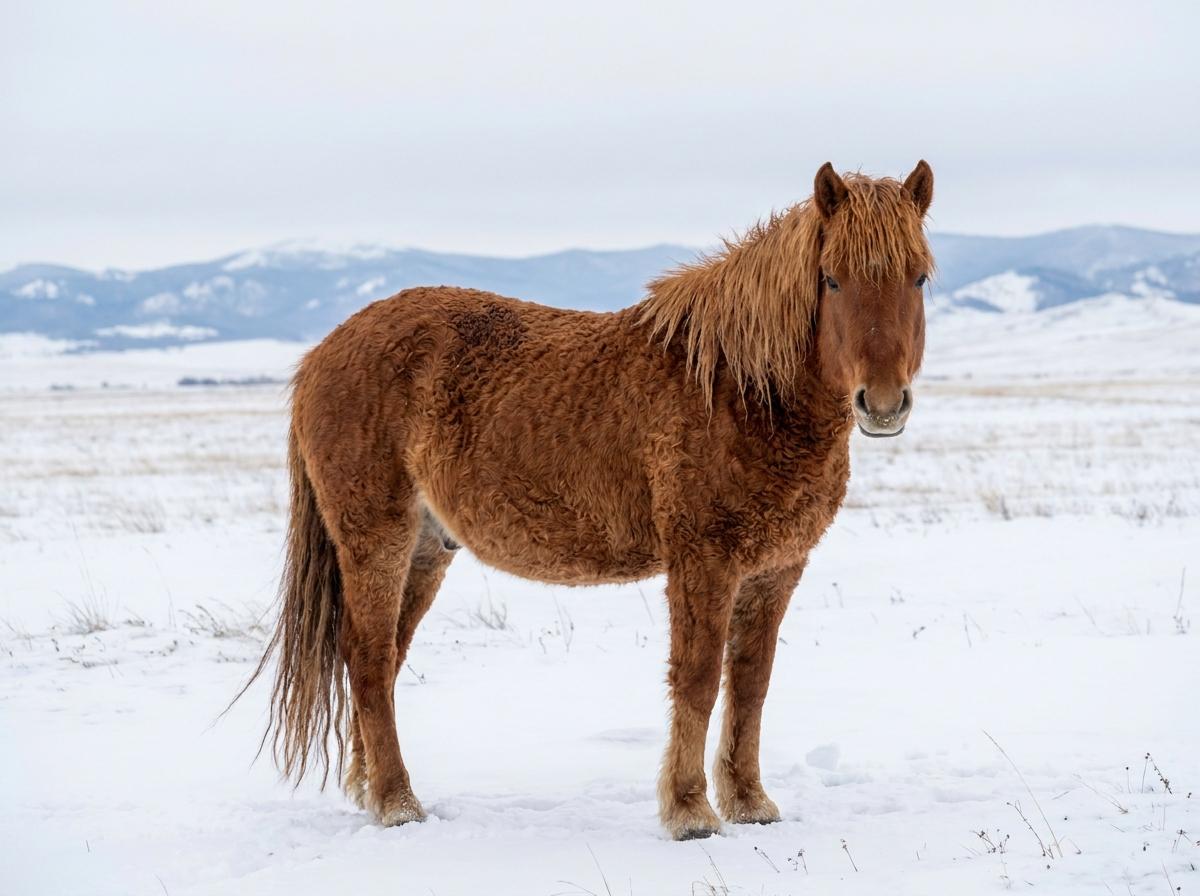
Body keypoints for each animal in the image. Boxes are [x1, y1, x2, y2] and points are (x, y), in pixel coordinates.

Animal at [248, 161, 935, 840]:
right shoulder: (704, 562)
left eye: (920, 277)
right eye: (832, 280)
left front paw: (750, 802)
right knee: (367, 660)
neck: (738, 389)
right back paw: (398, 804)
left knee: (384, 660)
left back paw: (371, 791)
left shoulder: (776, 570)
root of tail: (321, 354)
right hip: (377, 540)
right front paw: (690, 812)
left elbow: (750, 684)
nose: (882, 404)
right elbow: (697, 678)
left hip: (424, 549)